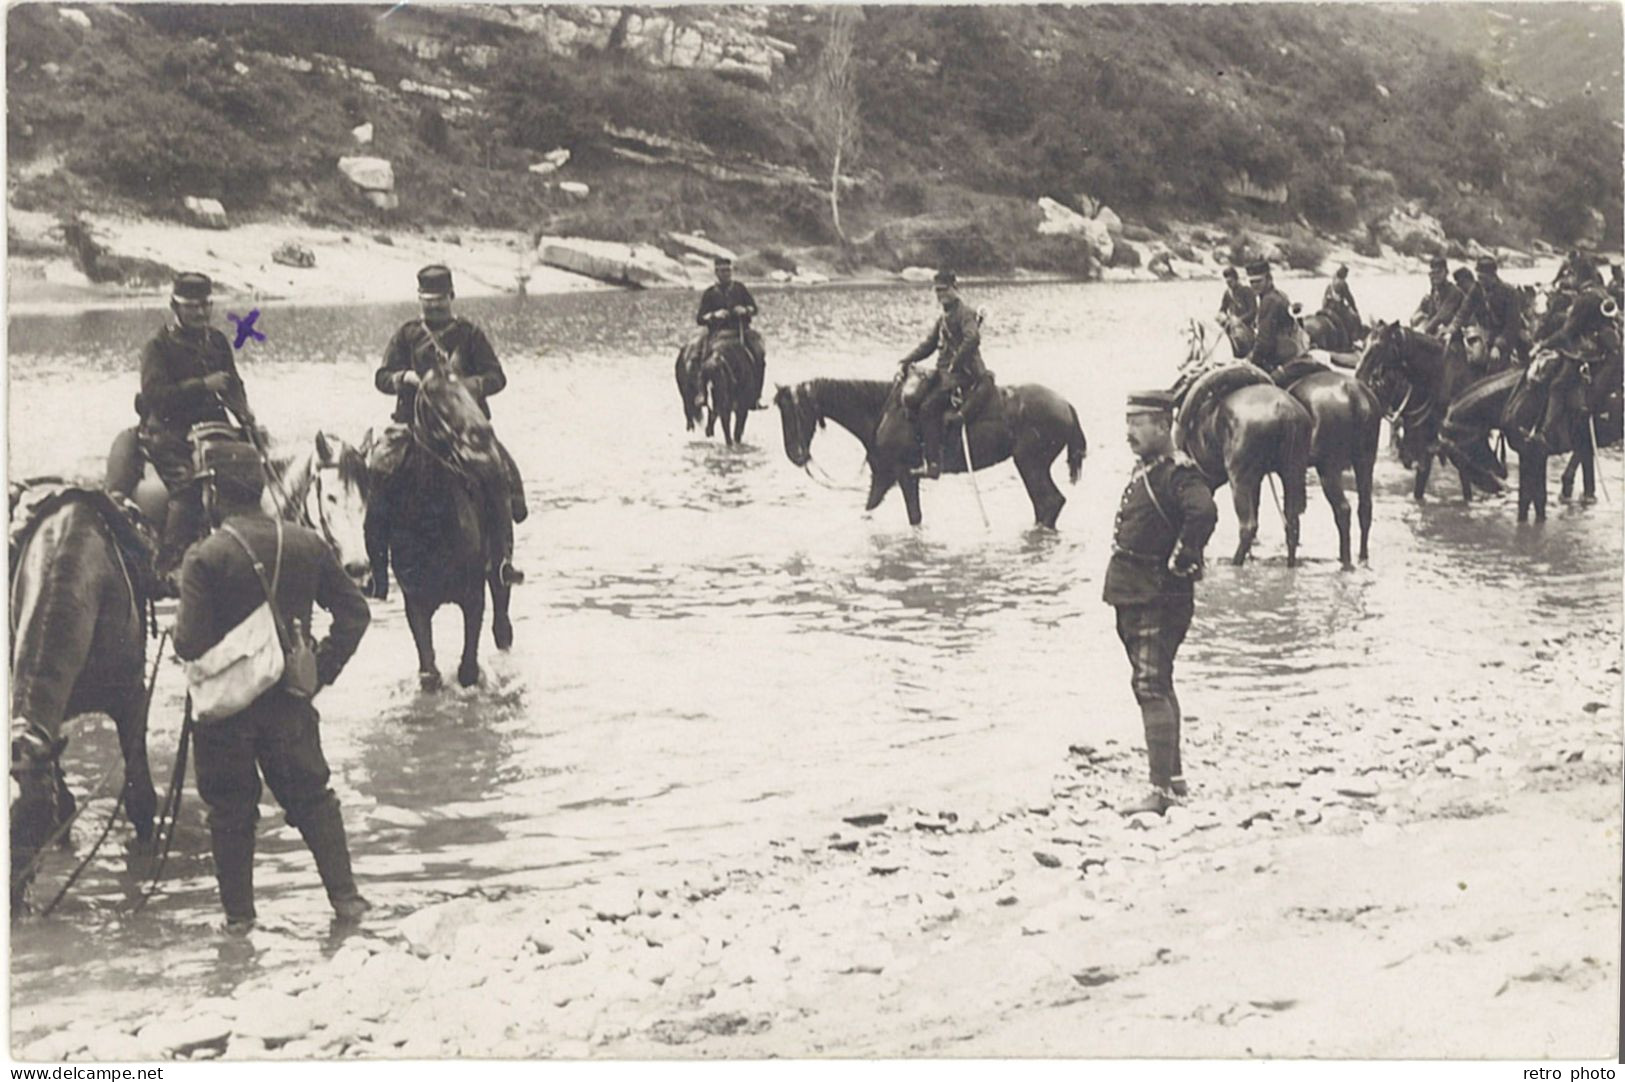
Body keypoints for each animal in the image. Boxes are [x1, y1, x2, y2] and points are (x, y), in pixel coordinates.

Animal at [383, 362, 510, 682]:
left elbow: (468, 671)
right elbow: (429, 673)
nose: (483, 439)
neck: (432, 523)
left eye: (470, 391)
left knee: (503, 628)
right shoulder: (416, 604)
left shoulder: (473, 598)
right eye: (433, 396)